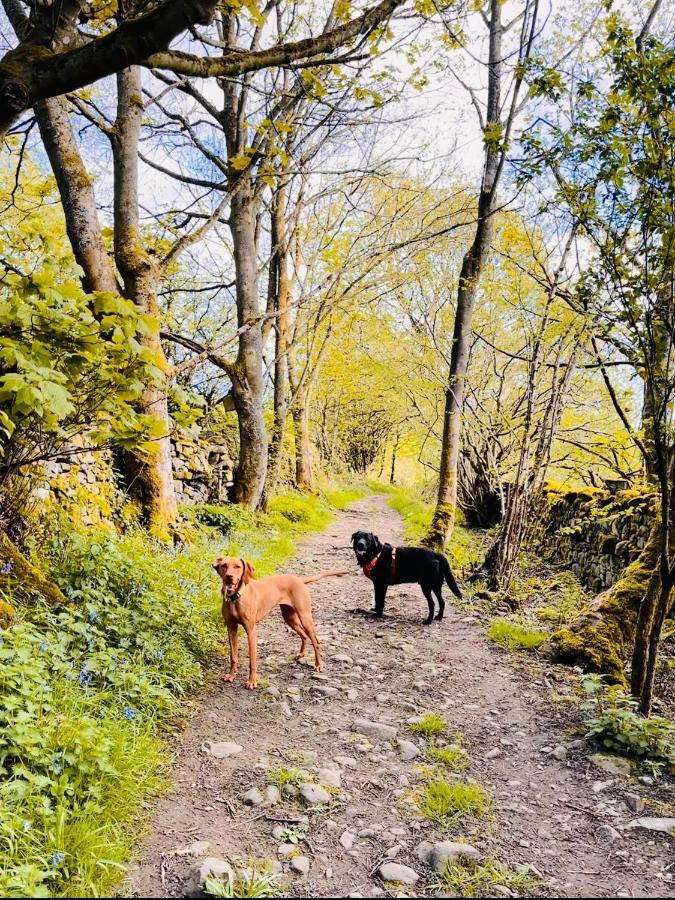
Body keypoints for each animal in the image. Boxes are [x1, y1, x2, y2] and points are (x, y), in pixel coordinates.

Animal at [211, 556, 348, 688]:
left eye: (238, 567)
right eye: (224, 566)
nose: (229, 577)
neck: (236, 598)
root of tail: (299, 579)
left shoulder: (251, 631)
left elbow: (252, 661)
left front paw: (252, 681)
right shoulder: (231, 628)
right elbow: (233, 656)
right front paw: (231, 675)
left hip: (305, 617)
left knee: (316, 641)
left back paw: (319, 664)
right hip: (289, 618)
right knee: (304, 635)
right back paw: (301, 654)